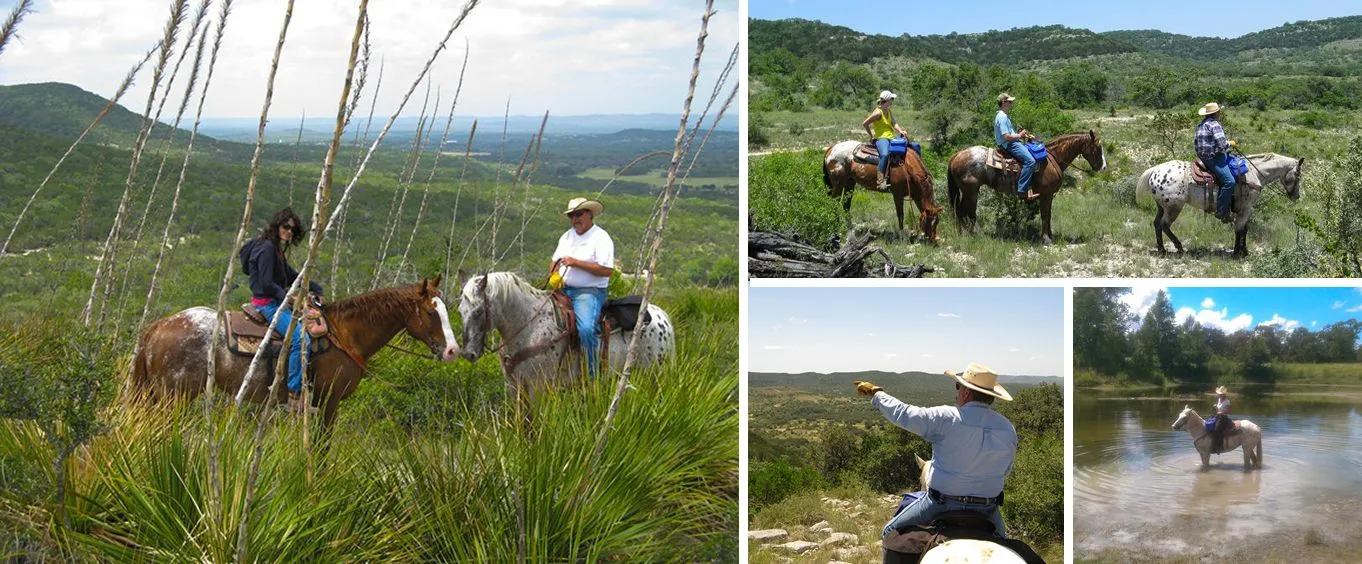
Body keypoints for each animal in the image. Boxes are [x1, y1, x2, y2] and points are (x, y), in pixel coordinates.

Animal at [132, 273, 463, 427]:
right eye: (431, 312)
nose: (452, 351)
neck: (345, 335)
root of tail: (158, 326)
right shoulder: (327, 402)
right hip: (173, 397)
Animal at [454, 272, 672, 405]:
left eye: (479, 311)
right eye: (460, 311)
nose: (469, 353)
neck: (529, 325)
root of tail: (663, 317)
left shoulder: (538, 387)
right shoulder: (514, 385)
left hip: (654, 375)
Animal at [811, 139, 942, 241]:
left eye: (937, 222)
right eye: (928, 222)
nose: (932, 239)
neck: (907, 167)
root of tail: (832, 148)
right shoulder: (897, 194)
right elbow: (900, 215)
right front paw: (902, 236)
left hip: (849, 183)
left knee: (846, 204)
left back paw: (850, 229)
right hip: (838, 183)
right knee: (833, 202)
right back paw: (836, 225)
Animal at [947, 130, 1105, 245]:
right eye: (1098, 147)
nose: (1103, 167)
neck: (1053, 159)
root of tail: (957, 154)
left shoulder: (1049, 195)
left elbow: (1049, 215)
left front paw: (1050, 236)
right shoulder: (1046, 195)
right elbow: (1045, 215)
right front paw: (1046, 239)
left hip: (968, 191)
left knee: (960, 211)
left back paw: (963, 233)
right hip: (971, 191)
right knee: (966, 212)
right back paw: (974, 235)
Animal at [1133, 151, 1302, 257]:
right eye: (1298, 174)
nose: (1296, 196)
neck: (1254, 174)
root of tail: (1155, 170)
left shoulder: (1245, 210)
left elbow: (1244, 230)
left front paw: (1244, 251)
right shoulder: (1246, 209)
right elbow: (1239, 230)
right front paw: (1237, 253)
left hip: (1162, 207)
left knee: (1157, 224)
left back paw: (1162, 249)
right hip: (1174, 207)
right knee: (1164, 225)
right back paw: (1179, 247)